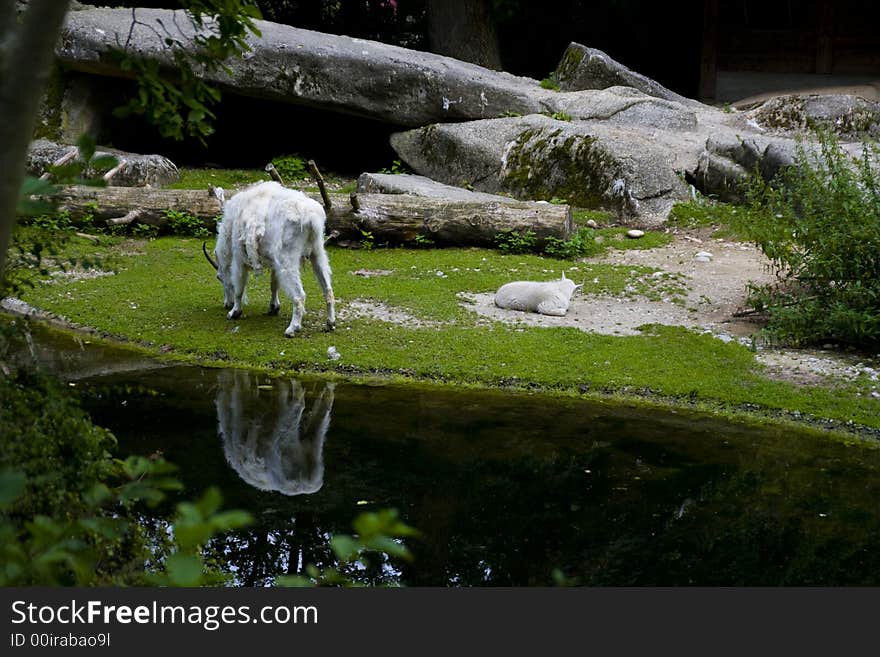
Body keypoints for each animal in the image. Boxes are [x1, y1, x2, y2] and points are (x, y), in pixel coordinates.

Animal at [204, 181, 336, 336]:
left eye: (219, 277)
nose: (226, 304)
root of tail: (311, 218)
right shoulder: (274, 264)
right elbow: (274, 285)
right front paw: (274, 307)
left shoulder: (239, 259)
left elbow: (239, 288)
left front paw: (234, 312)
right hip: (317, 252)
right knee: (328, 290)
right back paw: (330, 323)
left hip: (287, 259)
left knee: (299, 296)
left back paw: (292, 328)